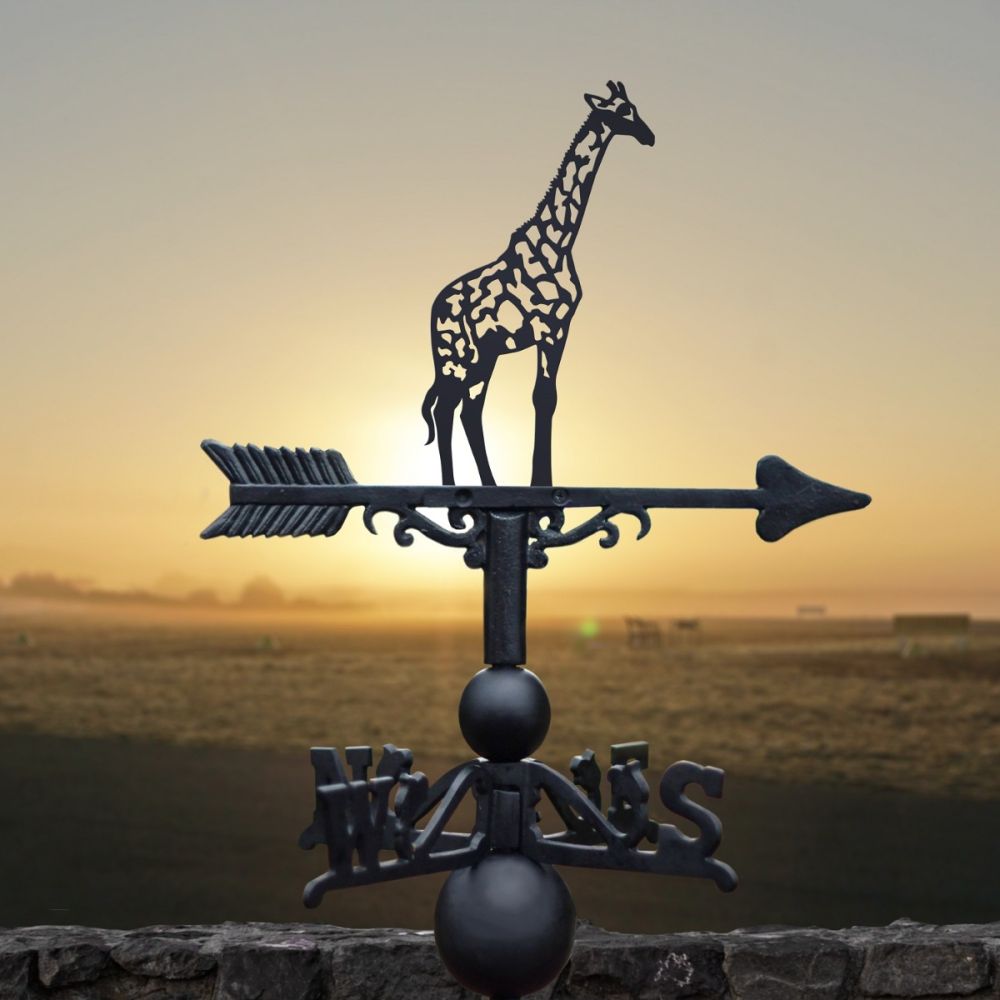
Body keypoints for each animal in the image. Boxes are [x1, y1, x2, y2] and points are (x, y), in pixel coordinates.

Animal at [420, 81, 655, 487]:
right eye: (622, 112)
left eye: (635, 107)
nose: (649, 136)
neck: (559, 242)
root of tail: (434, 310)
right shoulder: (550, 326)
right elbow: (543, 397)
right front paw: (542, 482)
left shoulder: (561, 327)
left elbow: (548, 397)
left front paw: (541, 481)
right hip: (456, 355)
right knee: (446, 407)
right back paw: (451, 488)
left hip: (484, 357)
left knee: (468, 409)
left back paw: (489, 484)